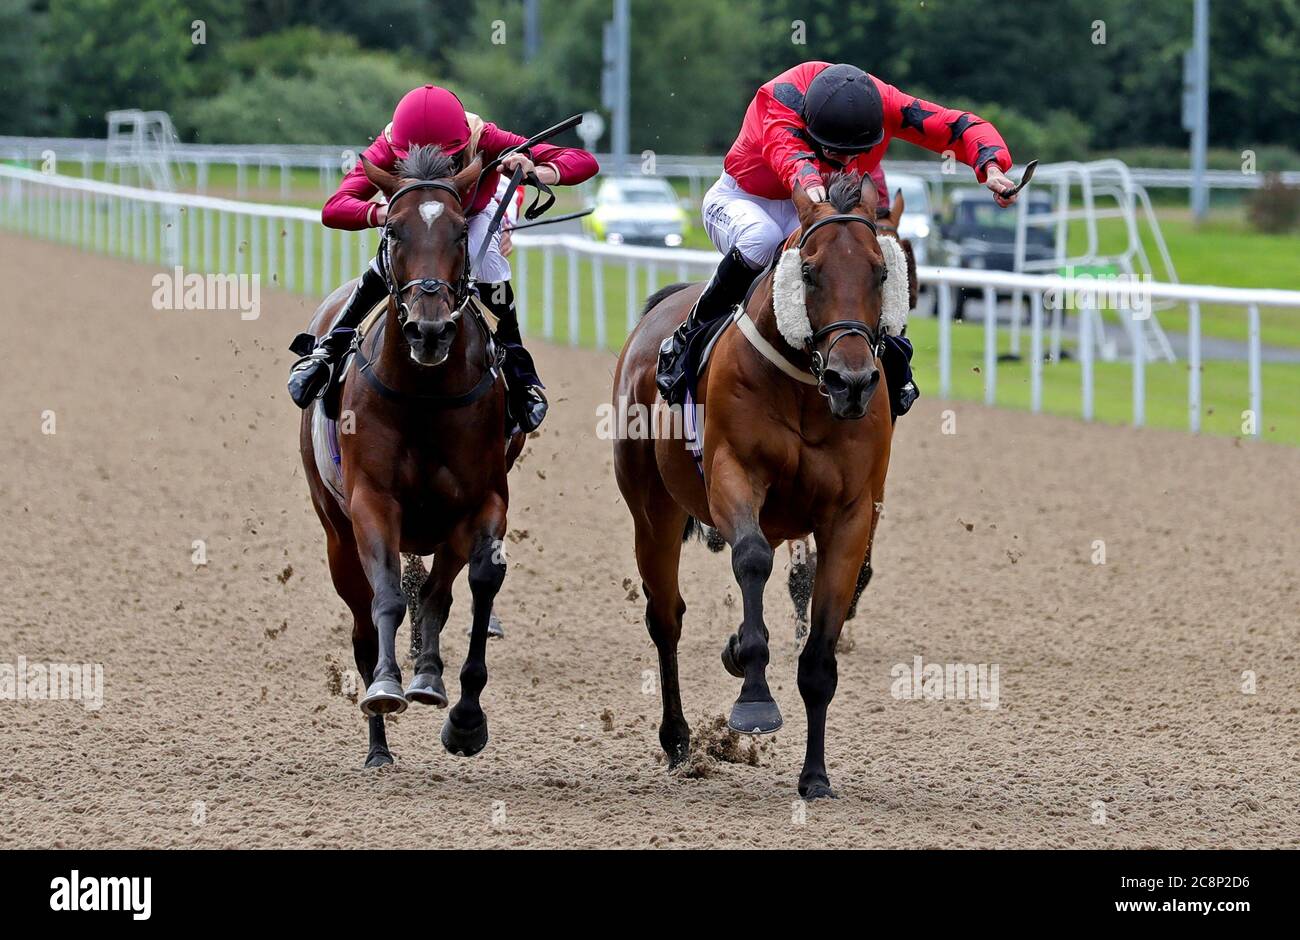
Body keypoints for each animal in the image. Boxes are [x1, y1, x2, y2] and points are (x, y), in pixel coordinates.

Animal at [297, 146, 520, 764]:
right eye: (392, 230)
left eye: (461, 233)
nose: (429, 330)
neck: (424, 390)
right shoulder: (373, 503)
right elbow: (390, 597)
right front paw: (385, 687)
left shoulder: (480, 505)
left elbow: (466, 589)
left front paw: (459, 712)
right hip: (335, 532)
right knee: (361, 622)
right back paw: (378, 745)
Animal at [616, 172, 904, 795]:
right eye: (810, 272)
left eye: (881, 272)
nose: (851, 382)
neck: (805, 387)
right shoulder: (733, 475)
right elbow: (749, 559)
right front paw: (753, 698)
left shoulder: (850, 514)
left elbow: (820, 649)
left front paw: (815, 776)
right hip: (653, 510)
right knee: (665, 616)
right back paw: (678, 740)